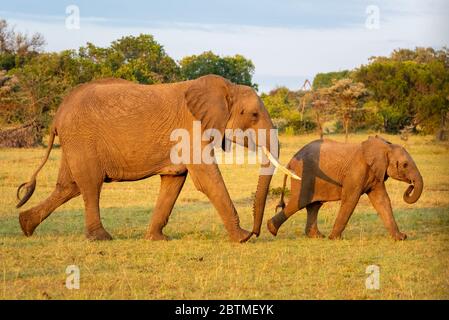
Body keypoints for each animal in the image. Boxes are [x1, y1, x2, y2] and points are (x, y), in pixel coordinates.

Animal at [15, 74, 292, 242]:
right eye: (253, 115)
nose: (259, 231)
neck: (226, 88)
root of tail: (59, 111)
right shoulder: (192, 128)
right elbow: (207, 178)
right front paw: (242, 237)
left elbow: (174, 180)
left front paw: (157, 239)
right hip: (81, 137)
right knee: (91, 184)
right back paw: (102, 238)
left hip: (74, 140)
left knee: (69, 186)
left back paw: (25, 225)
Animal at [268, 136, 422, 240]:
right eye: (405, 165)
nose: (411, 185)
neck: (384, 146)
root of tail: (291, 160)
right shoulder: (356, 171)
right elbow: (351, 199)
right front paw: (335, 238)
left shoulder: (376, 174)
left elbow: (382, 201)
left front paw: (401, 238)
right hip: (303, 176)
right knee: (299, 203)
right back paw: (271, 229)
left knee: (314, 205)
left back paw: (317, 236)